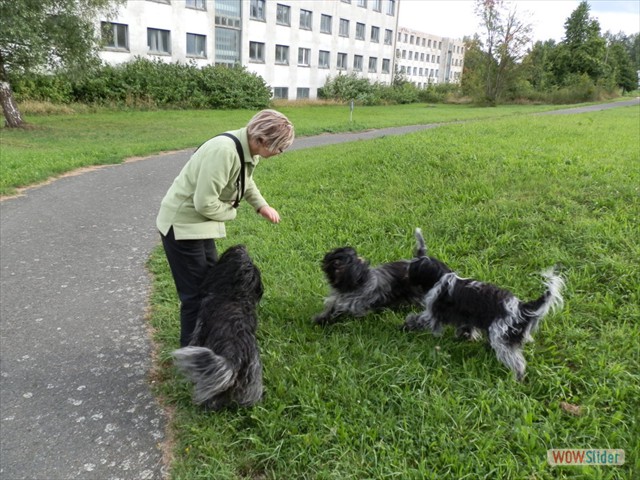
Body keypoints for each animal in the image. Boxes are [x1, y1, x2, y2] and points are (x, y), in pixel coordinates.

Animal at [402, 231, 564, 380]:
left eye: (411, 269)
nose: (405, 274)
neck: (440, 277)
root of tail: (521, 308)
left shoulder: (432, 313)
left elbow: (418, 319)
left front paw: (405, 326)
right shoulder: (466, 317)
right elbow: (467, 328)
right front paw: (466, 337)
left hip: (501, 338)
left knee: (518, 362)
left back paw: (516, 378)